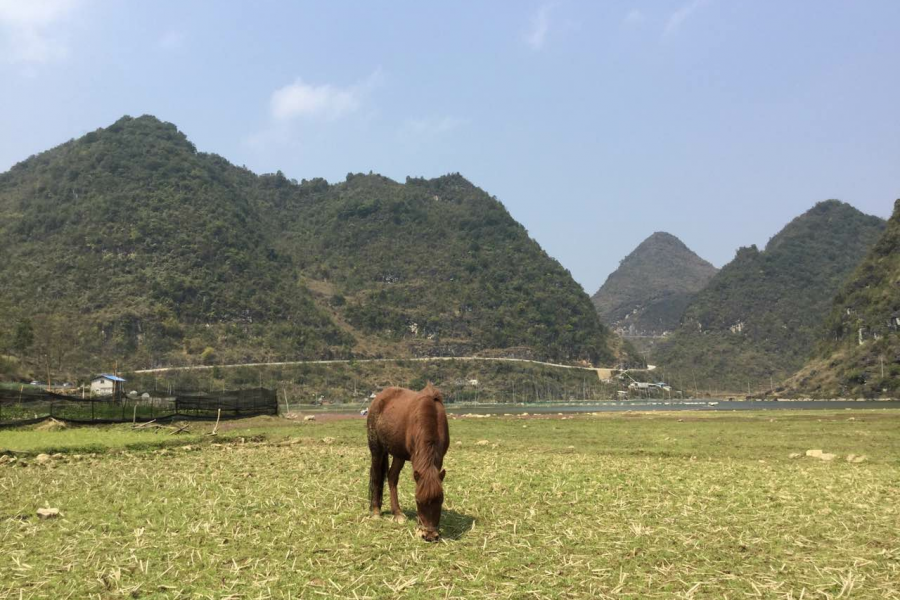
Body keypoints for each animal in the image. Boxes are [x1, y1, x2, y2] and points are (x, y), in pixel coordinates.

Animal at [366, 386, 450, 540]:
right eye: (417, 501)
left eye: (440, 500)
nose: (429, 535)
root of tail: (379, 398)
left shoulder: (439, 458)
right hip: (376, 449)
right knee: (376, 476)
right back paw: (376, 511)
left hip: (399, 454)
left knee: (392, 477)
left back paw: (397, 513)